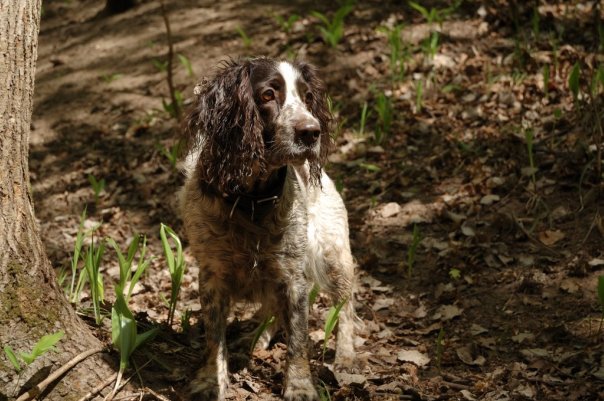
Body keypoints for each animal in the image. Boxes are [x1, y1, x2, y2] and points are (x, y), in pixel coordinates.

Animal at [182, 57, 356, 400]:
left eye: (307, 97)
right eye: (267, 95)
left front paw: (299, 386)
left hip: (333, 254)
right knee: (272, 310)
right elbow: (214, 339)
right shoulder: (212, 276)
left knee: (345, 306)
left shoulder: (293, 277)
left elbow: (298, 341)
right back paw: (256, 339)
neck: (251, 200)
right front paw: (211, 381)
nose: (312, 132)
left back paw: (346, 355)